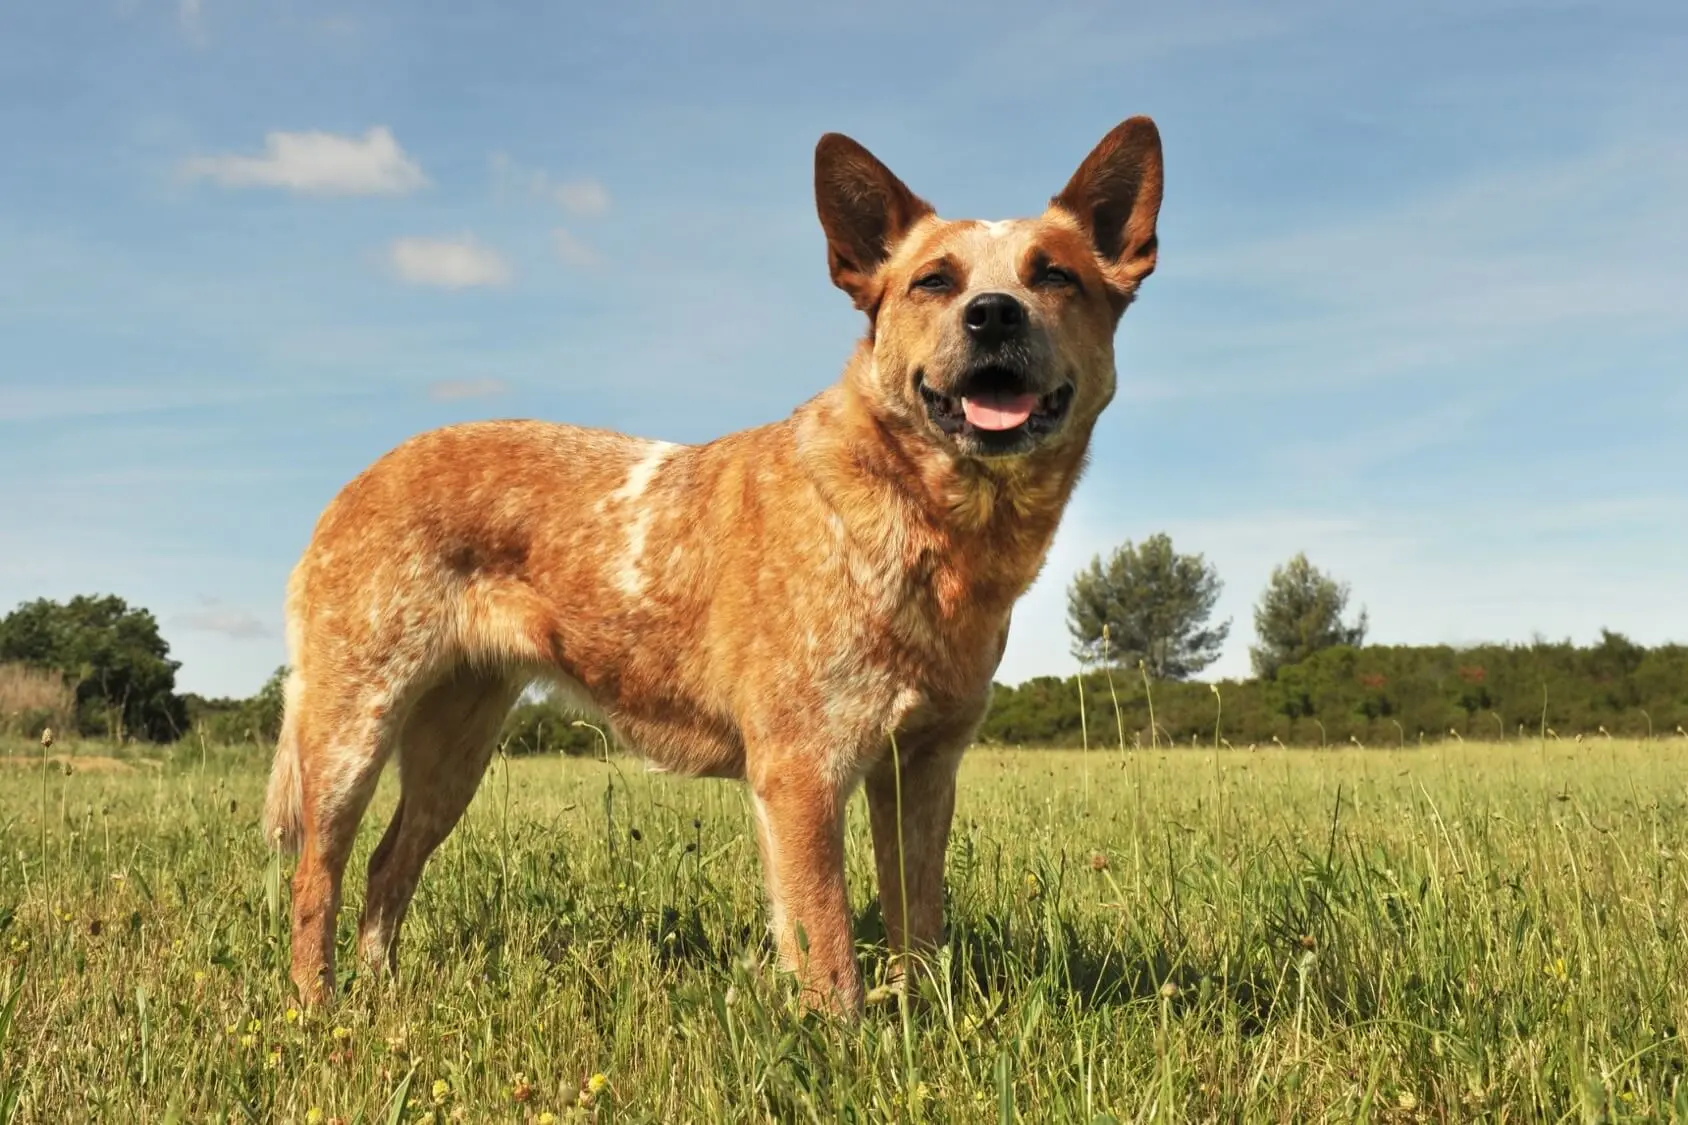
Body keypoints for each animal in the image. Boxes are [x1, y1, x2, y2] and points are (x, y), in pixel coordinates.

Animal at [266, 115, 1161, 1013]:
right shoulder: (802, 770)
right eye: (933, 282)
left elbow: (919, 925)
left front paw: (922, 1022)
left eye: (1055, 275)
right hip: (353, 726)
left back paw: (378, 997)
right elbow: (829, 949)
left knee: (388, 865)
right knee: (317, 875)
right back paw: (318, 1012)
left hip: (457, 742)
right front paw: (841, 1038)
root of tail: (354, 484)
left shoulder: (925, 766)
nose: (993, 315)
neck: (927, 520)